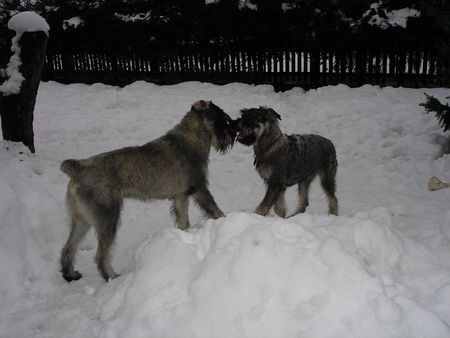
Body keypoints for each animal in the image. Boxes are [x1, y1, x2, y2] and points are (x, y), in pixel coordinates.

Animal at [60, 101, 237, 282]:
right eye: (222, 118)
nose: (234, 133)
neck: (190, 138)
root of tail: (79, 169)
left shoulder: (180, 196)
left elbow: (183, 221)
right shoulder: (200, 188)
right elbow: (215, 209)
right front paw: (227, 222)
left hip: (82, 219)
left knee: (69, 247)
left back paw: (69, 274)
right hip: (107, 218)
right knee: (101, 254)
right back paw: (111, 276)